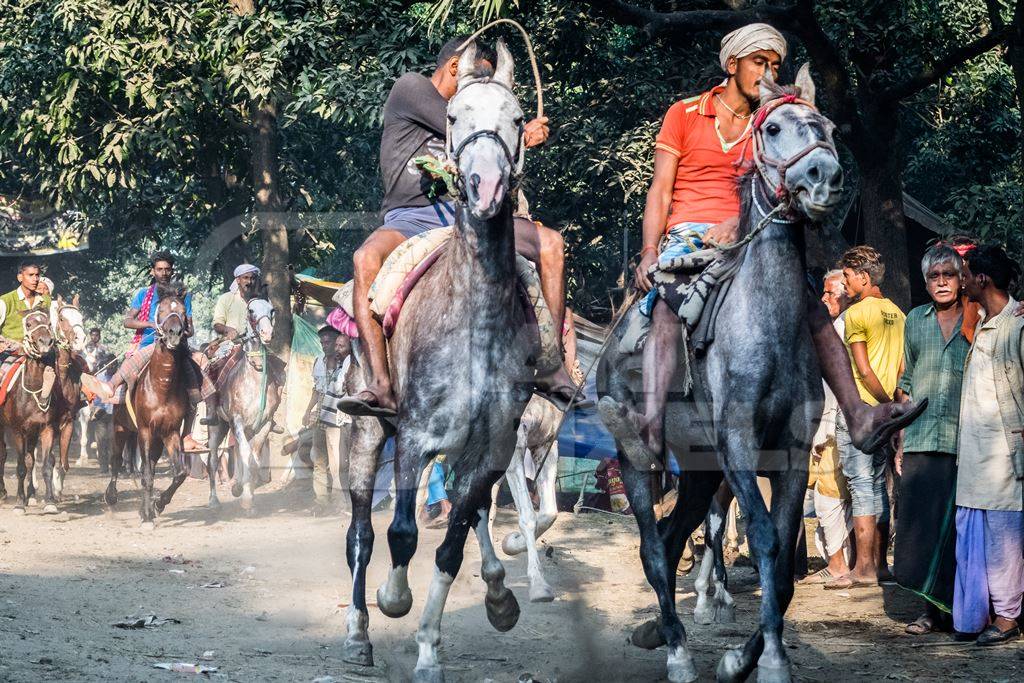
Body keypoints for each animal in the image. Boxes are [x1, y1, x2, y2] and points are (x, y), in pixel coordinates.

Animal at [0, 309, 58, 511]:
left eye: (49, 323)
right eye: (29, 324)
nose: (46, 342)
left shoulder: (46, 428)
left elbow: (45, 465)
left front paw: (50, 502)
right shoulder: (18, 431)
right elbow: (20, 467)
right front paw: (19, 503)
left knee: (30, 458)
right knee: (4, 455)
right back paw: (5, 494)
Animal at [104, 282, 192, 528]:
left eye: (183, 311)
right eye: (160, 310)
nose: (175, 333)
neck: (162, 387)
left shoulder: (170, 432)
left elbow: (180, 473)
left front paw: (157, 505)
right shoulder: (144, 430)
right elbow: (145, 475)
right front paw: (147, 516)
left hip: (156, 439)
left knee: (150, 465)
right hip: (121, 427)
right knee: (116, 459)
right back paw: (111, 496)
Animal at [342, 40, 536, 679]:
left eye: (518, 118)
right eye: (453, 117)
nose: (486, 185)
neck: (474, 322)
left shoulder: (491, 447)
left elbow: (451, 546)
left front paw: (429, 647)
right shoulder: (414, 437)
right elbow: (401, 533)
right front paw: (393, 600)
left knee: (462, 520)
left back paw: (498, 594)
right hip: (365, 434)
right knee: (360, 533)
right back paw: (358, 633)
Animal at [598, 68, 847, 683]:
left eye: (829, 127)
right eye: (775, 127)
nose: (824, 178)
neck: (766, 323)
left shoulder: (791, 450)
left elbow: (781, 561)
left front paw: (740, 659)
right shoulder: (737, 442)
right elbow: (764, 538)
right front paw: (772, 661)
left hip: (700, 468)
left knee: (671, 536)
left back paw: (659, 631)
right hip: (637, 459)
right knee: (653, 547)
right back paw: (678, 653)